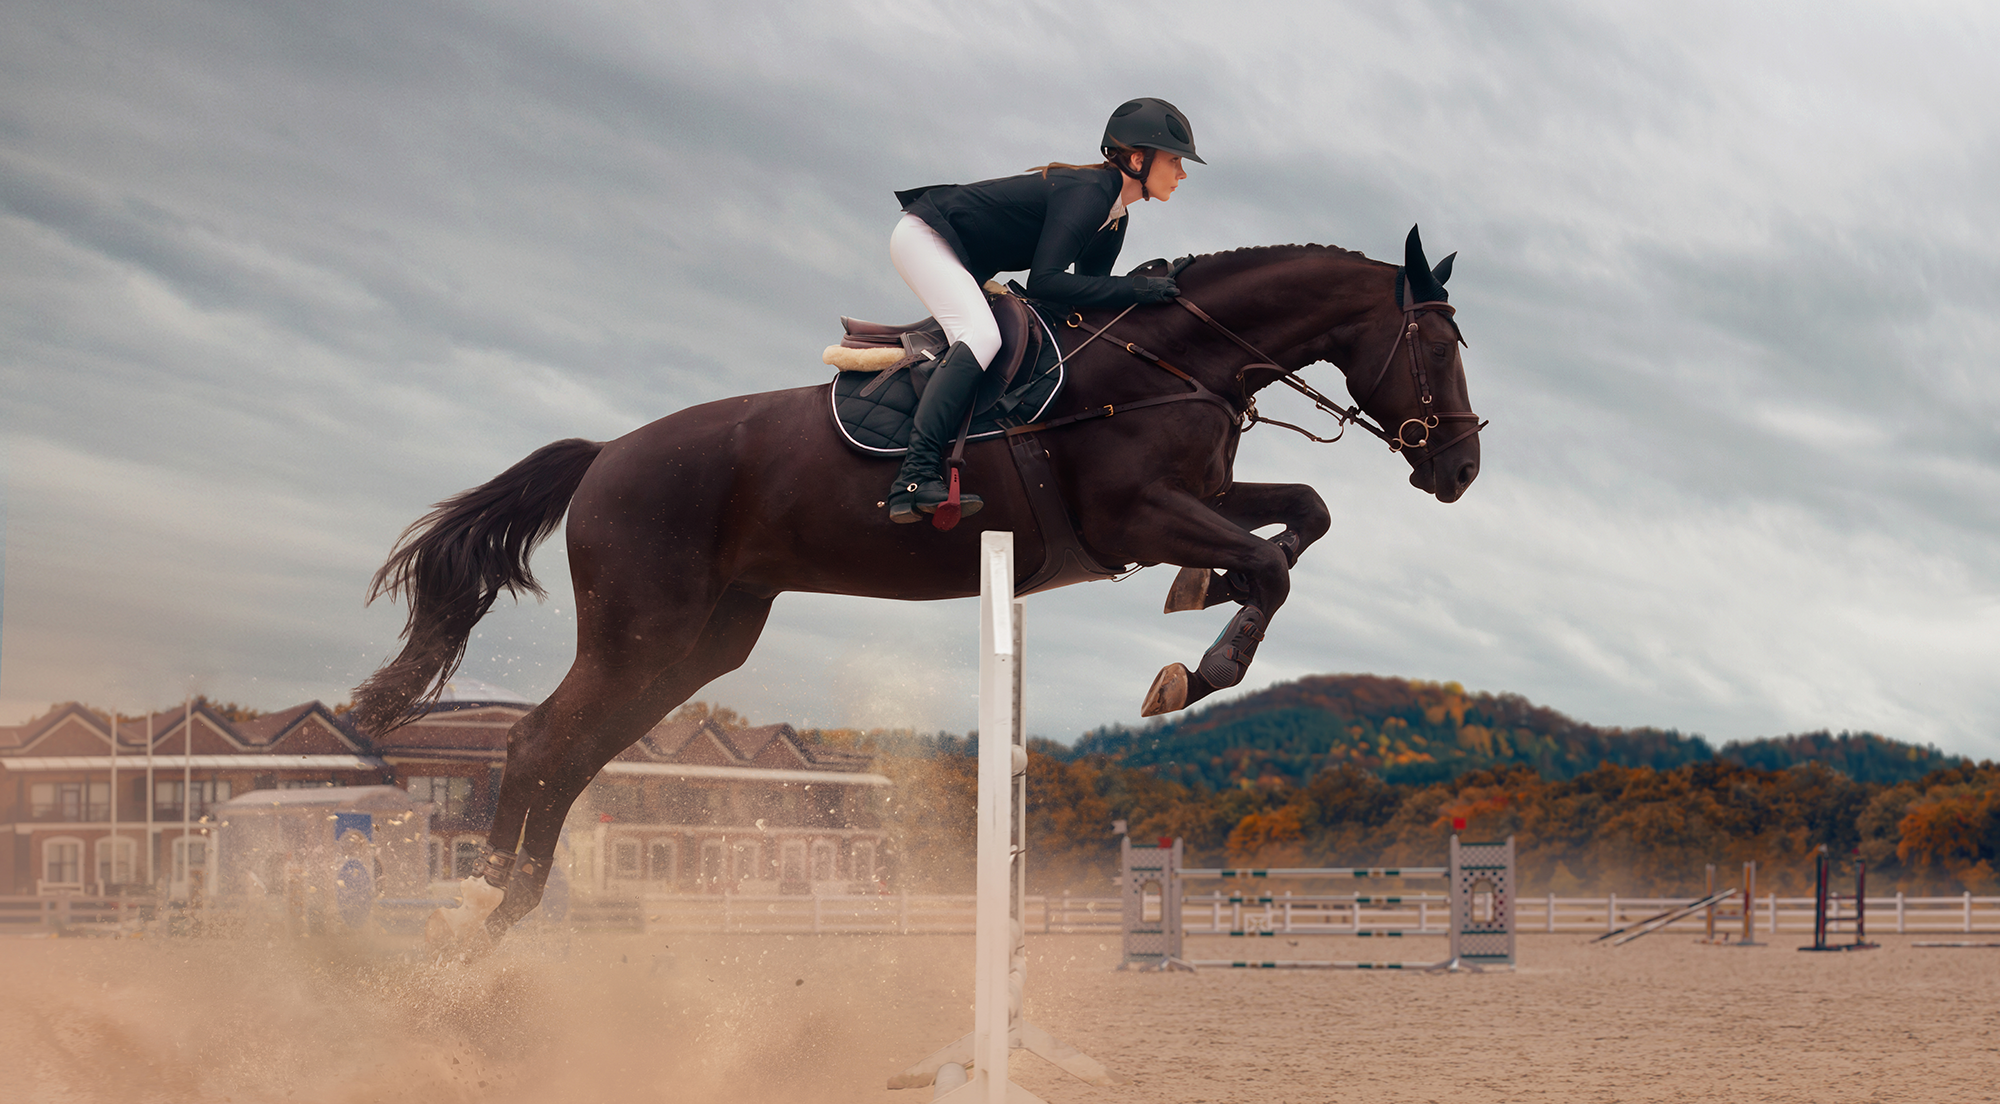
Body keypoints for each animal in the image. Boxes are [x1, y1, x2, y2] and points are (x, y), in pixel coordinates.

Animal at [354, 226, 1483, 939]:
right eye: (1436, 343)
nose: (1461, 468)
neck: (1172, 360)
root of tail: (603, 455)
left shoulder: (1198, 495)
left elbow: (1303, 515)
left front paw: (1198, 604)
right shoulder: (1135, 514)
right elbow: (1268, 564)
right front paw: (1192, 672)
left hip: (700, 643)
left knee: (574, 754)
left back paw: (506, 911)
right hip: (643, 629)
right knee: (540, 744)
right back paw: (480, 907)